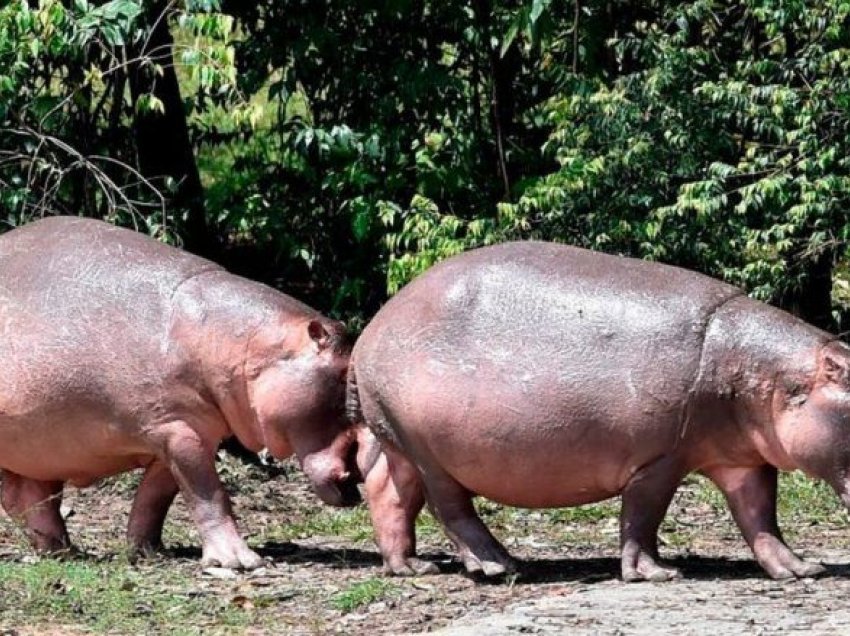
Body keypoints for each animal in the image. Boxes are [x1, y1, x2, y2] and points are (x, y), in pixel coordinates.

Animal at [0, 216, 354, 568]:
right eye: (343, 377)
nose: (358, 472)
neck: (235, 341)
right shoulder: (177, 429)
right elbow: (209, 495)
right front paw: (240, 562)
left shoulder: (184, 434)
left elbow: (154, 498)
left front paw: (148, 551)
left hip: (34, 455)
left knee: (29, 499)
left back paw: (64, 552)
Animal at [346, 241, 848, 580]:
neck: (768, 372)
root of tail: (374, 326)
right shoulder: (660, 459)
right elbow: (642, 516)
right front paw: (657, 574)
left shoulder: (744, 460)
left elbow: (760, 517)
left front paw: (801, 568)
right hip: (428, 450)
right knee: (448, 506)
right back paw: (500, 565)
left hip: (397, 439)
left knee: (390, 491)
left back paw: (411, 567)